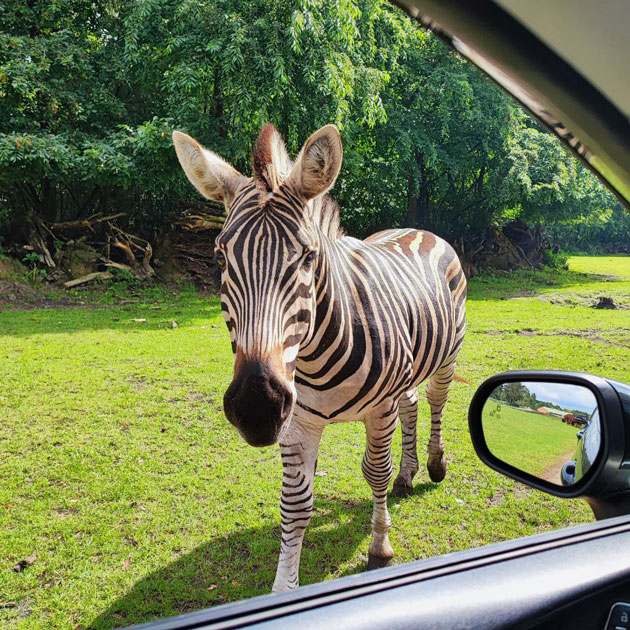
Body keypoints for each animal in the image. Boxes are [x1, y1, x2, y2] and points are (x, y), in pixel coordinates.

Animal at [173, 122, 470, 592]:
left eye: (309, 256)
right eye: (221, 256)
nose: (257, 407)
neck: (312, 358)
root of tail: (416, 229)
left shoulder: (378, 409)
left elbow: (374, 471)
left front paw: (380, 547)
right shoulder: (297, 421)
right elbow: (295, 504)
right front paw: (283, 589)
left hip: (446, 356)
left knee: (436, 400)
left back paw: (435, 464)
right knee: (412, 404)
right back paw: (409, 473)